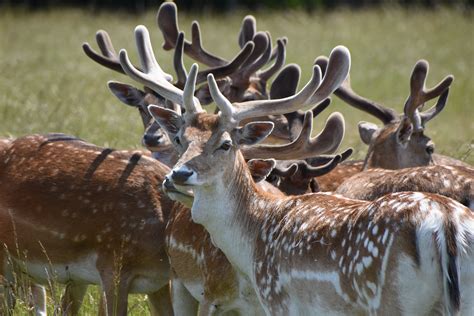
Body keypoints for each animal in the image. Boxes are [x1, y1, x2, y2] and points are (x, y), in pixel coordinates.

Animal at [144, 47, 474, 314]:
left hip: (393, 300)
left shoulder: (277, 298)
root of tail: (446, 221)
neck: (251, 242)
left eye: (226, 144)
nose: (178, 174)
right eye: (181, 138)